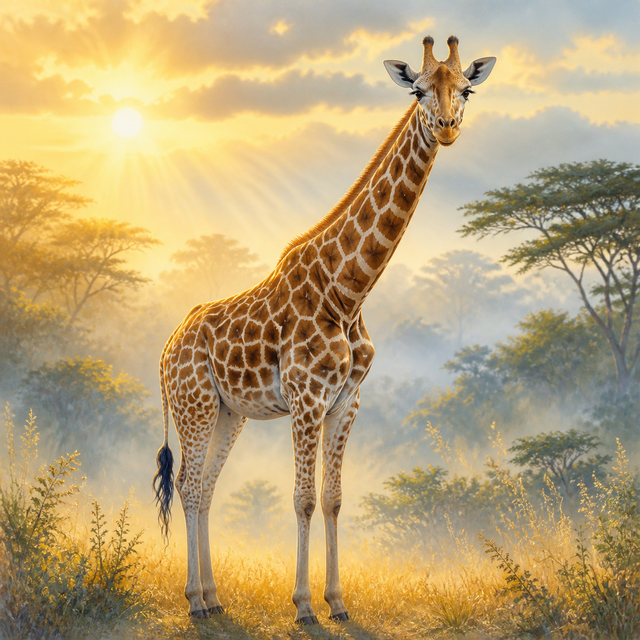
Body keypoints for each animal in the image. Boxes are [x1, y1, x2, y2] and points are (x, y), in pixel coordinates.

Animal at [153, 35, 496, 624]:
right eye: (418, 89)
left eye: (466, 89)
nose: (448, 126)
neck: (349, 292)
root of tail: (166, 349)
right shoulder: (307, 398)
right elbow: (304, 499)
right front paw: (303, 606)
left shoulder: (346, 402)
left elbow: (334, 500)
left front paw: (337, 602)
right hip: (192, 405)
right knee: (190, 484)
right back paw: (195, 600)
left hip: (228, 413)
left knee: (205, 488)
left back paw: (214, 598)